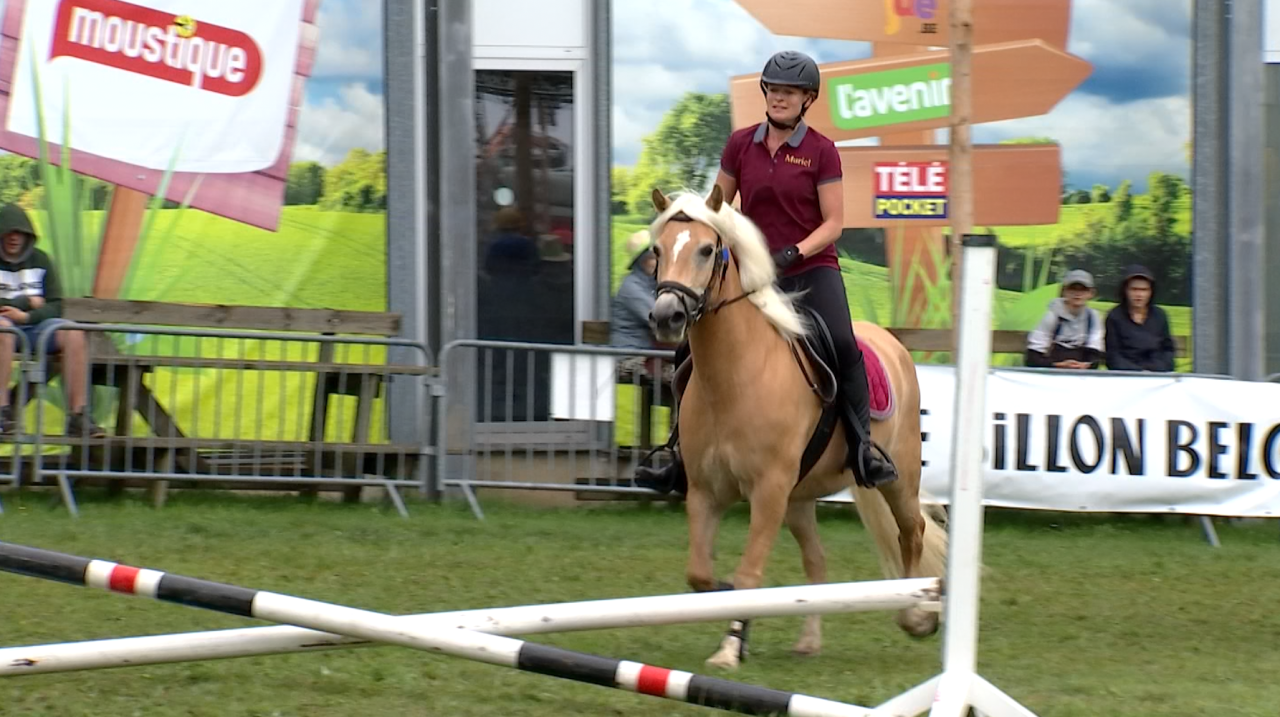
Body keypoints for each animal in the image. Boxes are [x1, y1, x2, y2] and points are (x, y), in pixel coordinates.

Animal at [645, 185, 947, 670]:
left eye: (707, 249)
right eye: (656, 250)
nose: (667, 316)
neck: (736, 377)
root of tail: (893, 343)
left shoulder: (768, 491)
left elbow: (748, 574)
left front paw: (729, 650)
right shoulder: (707, 492)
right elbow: (702, 575)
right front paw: (735, 623)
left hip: (897, 479)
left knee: (912, 532)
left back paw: (916, 616)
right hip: (799, 498)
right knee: (817, 562)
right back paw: (809, 641)